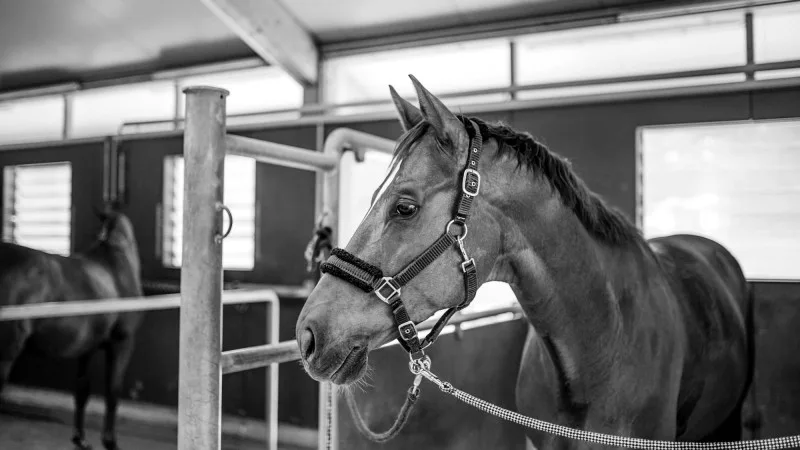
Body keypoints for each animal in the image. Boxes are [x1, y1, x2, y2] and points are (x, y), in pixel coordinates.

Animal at [0, 207, 143, 450]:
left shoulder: (87, 348)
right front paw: (110, 441)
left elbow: (82, 391)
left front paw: (80, 438)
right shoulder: (122, 343)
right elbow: (112, 392)